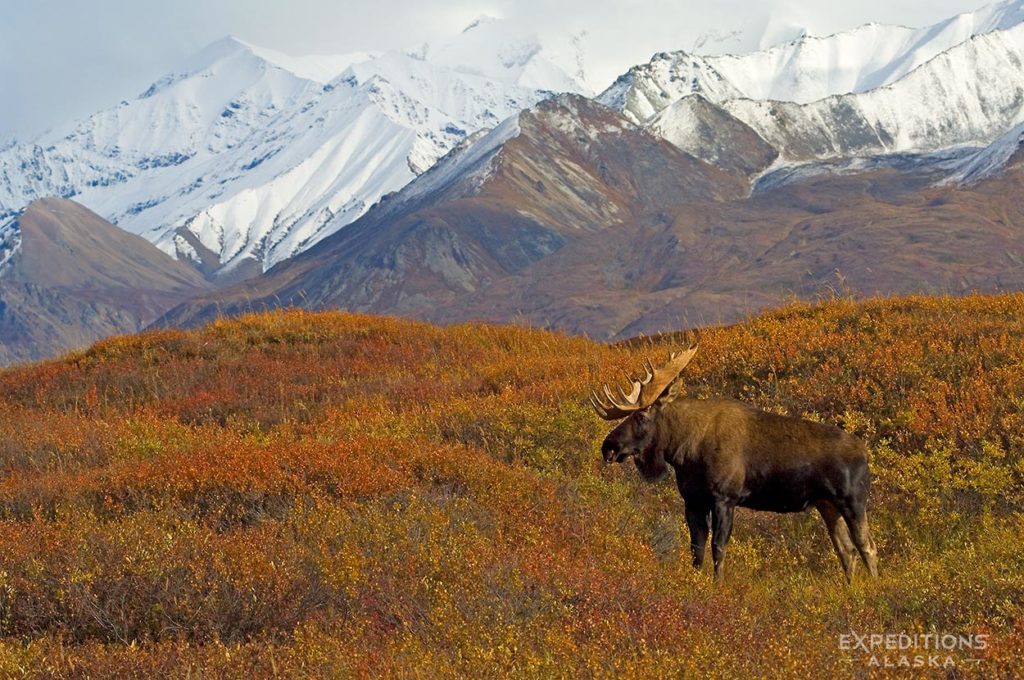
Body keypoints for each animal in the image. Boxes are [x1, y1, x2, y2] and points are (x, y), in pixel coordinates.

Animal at [593, 337, 880, 581]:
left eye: (641, 415)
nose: (609, 446)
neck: (684, 450)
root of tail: (865, 453)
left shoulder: (725, 498)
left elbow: (718, 548)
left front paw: (718, 585)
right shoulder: (693, 501)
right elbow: (696, 550)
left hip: (853, 501)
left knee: (867, 546)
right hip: (827, 504)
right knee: (845, 550)